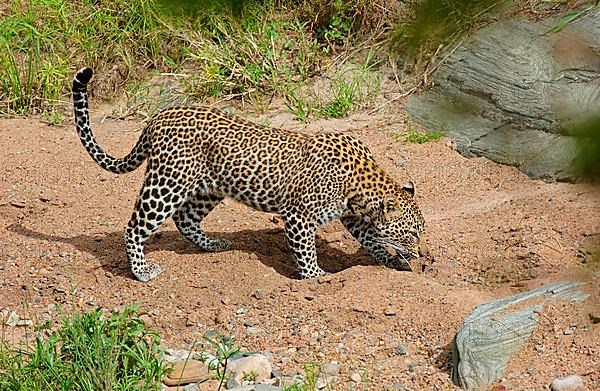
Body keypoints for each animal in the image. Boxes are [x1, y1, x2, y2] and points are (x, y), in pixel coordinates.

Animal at [72, 66, 426, 282]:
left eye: (420, 231)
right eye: (411, 233)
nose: (421, 252)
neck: (362, 185)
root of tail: (158, 117)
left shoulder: (353, 217)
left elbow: (373, 240)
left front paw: (394, 262)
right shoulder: (298, 216)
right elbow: (306, 252)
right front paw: (316, 278)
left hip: (209, 187)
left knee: (185, 219)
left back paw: (214, 245)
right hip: (167, 183)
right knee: (135, 226)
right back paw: (141, 271)